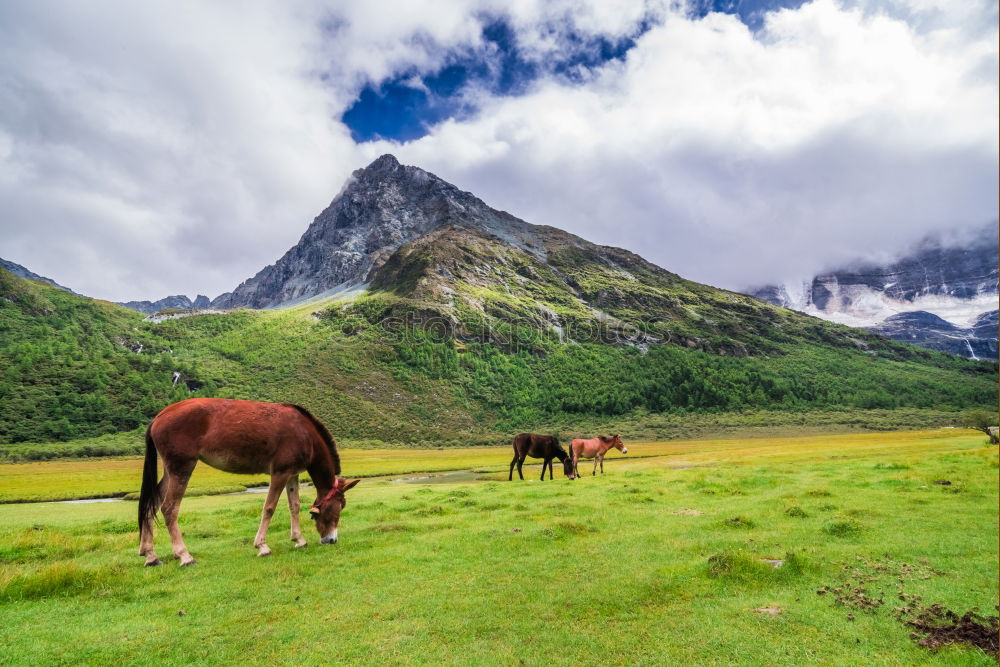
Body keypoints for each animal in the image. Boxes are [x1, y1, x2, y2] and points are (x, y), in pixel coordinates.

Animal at [138, 400, 360, 568]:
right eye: (339, 507)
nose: (331, 540)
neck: (305, 433)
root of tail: (159, 416)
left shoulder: (292, 474)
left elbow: (294, 506)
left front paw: (299, 540)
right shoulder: (279, 473)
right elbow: (269, 508)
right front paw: (262, 546)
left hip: (171, 471)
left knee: (152, 504)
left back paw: (150, 555)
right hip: (182, 467)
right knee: (169, 508)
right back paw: (184, 556)